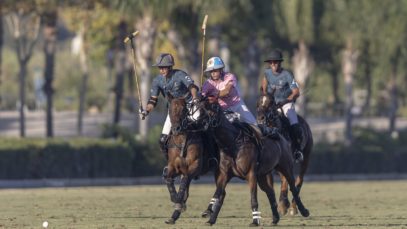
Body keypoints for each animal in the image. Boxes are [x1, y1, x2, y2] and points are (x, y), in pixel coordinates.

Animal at [164, 95, 218, 225]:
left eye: (184, 109)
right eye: (170, 110)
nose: (176, 128)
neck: (181, 141)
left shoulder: (194, 166)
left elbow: (184, 183)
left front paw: (179, 203)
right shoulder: (174, 167)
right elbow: (169, 179)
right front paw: (176, 202)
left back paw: (208, 210)